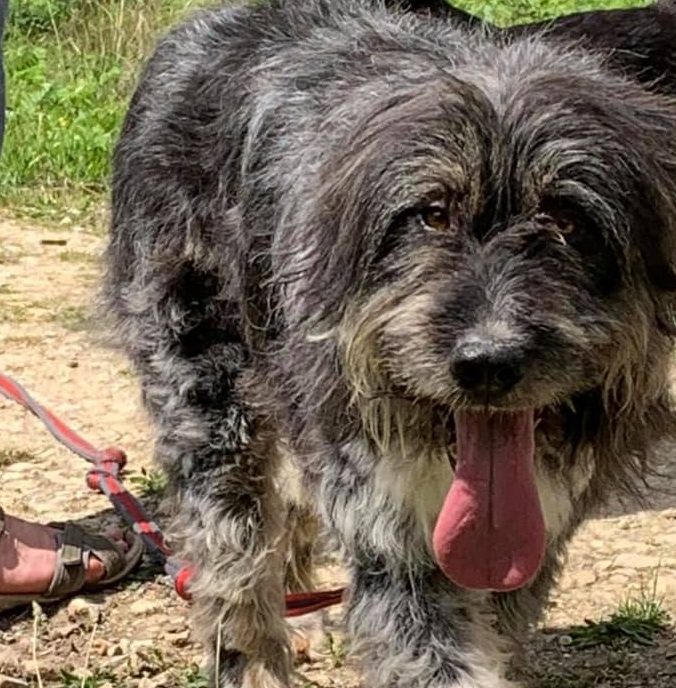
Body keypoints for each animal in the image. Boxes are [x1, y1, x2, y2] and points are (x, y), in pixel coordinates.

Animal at [104, 1, 676, 688]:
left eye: (568, 220)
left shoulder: (533, 524)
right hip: (204, 384)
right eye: (431, 214)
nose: (489, 362)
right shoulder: (393, 527)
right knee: (233, 549)